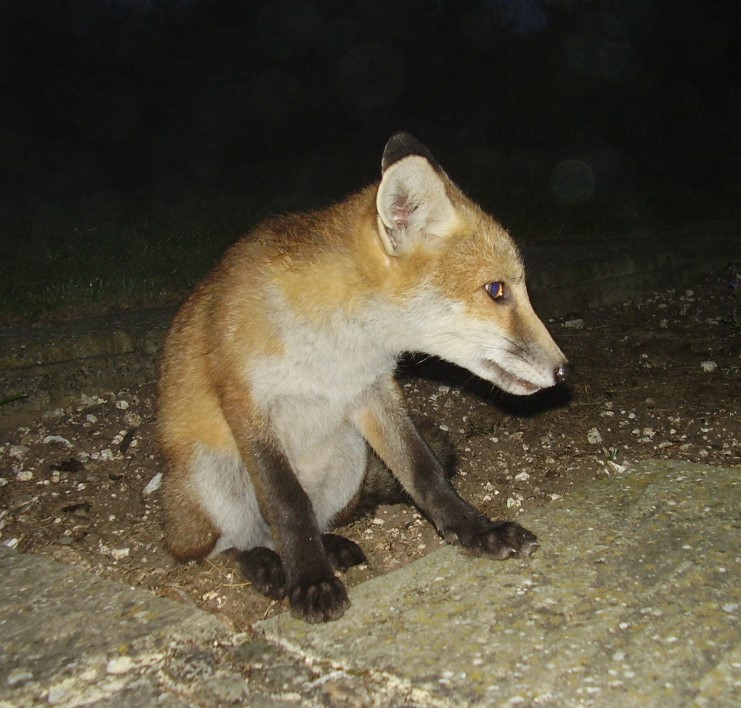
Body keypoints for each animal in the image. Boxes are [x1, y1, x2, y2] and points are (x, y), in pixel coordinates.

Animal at [159, 131, 568, 620]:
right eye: (495, 290)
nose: (563, 370)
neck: (337, 352)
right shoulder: (247, 401)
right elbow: (288, 503)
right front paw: (310, 580)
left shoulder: (372, 391)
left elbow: (425, 471)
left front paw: (475, 531)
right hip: (211, 475)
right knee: (229, 545)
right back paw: (267, 564)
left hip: (349, 455)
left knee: (309, 522)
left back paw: (329, 546)